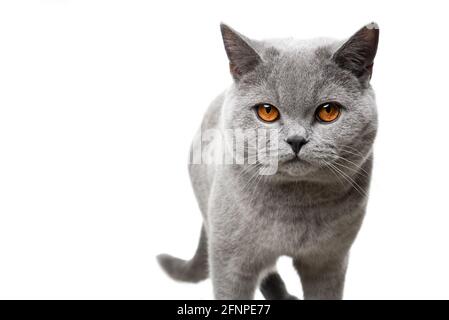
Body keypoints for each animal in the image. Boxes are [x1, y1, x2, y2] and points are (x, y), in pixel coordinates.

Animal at [158, 22, 378, 300]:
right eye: (267, 111)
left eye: (328, 111)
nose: (296, 140)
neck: (296, 209)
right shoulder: (229, 262)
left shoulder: (329, 261)